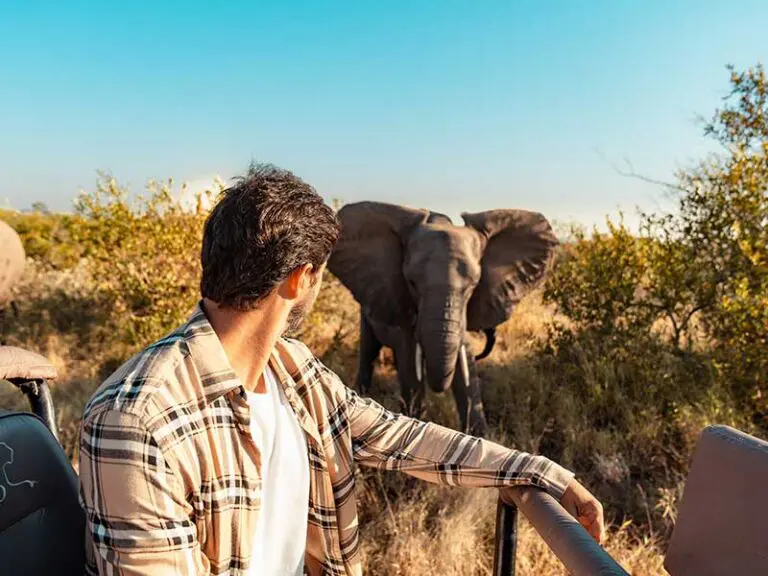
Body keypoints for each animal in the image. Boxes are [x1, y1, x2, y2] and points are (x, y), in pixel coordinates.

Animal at [327, 201, 559, 437]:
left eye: (474, 285)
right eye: (411, 283)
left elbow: (466, 369)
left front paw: (480, 436)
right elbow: (411, 367)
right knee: (369, 352)